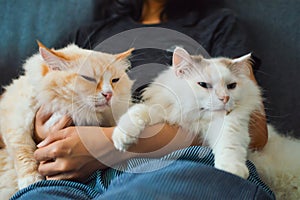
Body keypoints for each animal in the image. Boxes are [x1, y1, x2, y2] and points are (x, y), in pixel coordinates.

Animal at [0, 42, 134, 194]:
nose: (109, 94)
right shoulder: (16, 117)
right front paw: (31, 180)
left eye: (115, 80)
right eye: (89, 79)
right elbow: (22, 150)